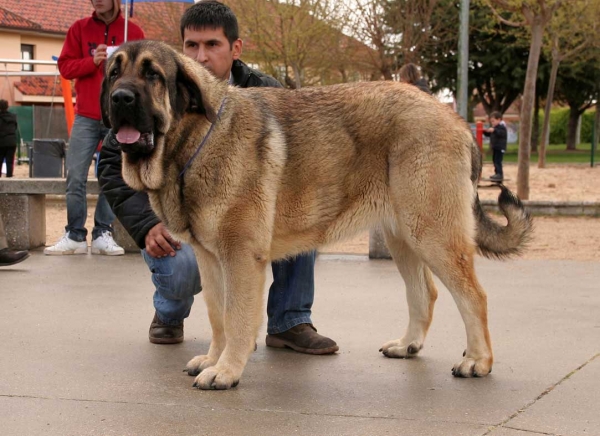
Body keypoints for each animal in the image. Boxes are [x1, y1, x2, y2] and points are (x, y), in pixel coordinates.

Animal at [101, 40, 532, 388]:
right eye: (113, 72)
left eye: (152, 75)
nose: (119, 98)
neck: (195, 140)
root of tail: (455, 120)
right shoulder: (211, 259)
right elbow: (217, 316)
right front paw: (213, 359)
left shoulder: (240, 257)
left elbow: (237, 318)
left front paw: (226, 371)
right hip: (403, 236)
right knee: (424, 292)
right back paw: (408, 345)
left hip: (432, 234)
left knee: (473, 296)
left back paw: (477, 361)